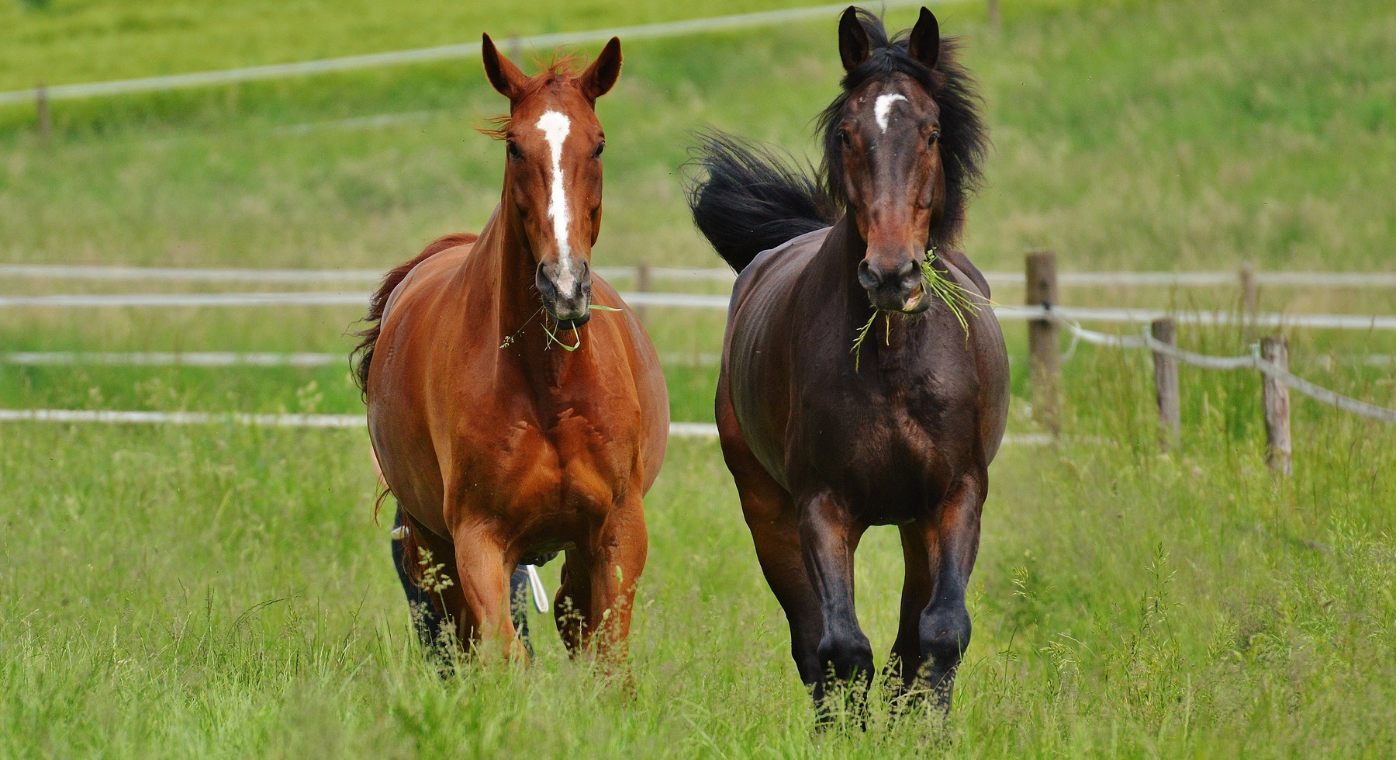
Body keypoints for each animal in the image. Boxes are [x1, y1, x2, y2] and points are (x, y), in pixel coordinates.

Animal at [354, 34, 669, 661]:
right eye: (515, 148)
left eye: (598, 144)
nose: (564, 286)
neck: (548, 387)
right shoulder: (478, 539)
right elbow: (503, 652)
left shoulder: (618, 532)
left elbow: (606, 657)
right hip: (435, 547)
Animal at [686, 6, 1008, 712]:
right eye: (846, 132)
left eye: (932, 132)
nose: (891, 275)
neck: (893, 366)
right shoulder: (821, 507)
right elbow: (841, 649)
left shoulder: (957, 495)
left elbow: (939, 634)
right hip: (768, 512)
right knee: (814, 645)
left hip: (916, 524)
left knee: (910, 638)